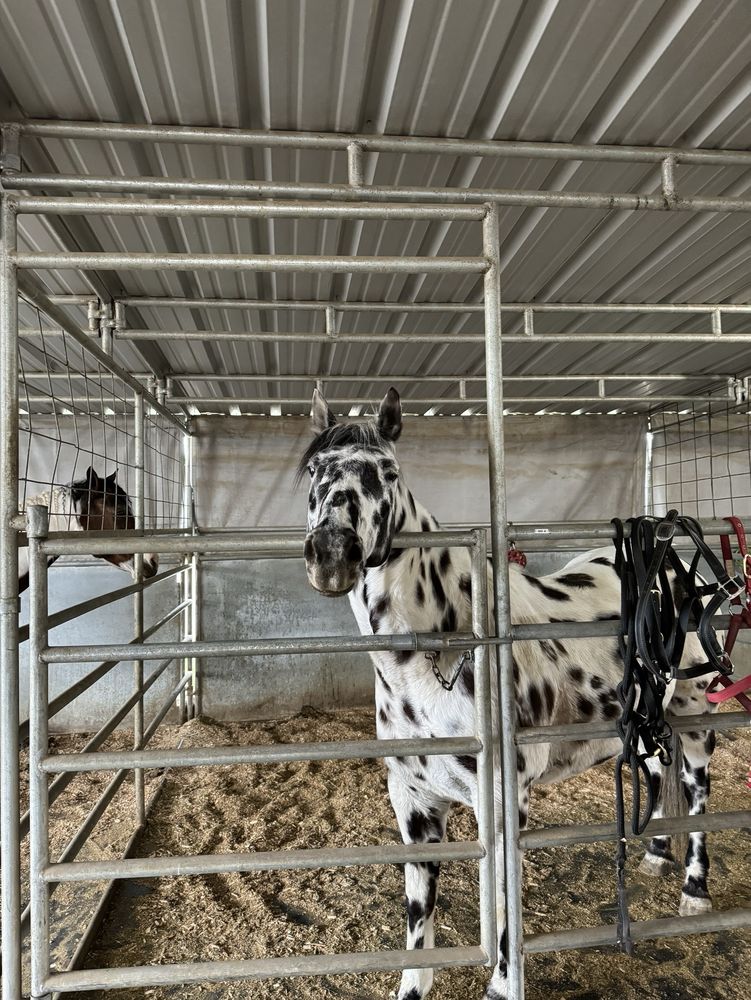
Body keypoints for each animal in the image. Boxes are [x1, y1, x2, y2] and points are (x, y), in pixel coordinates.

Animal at [297, 387, 717, 1000]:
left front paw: (500, 980)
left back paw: (694, 892)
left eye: (388, 472)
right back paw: (656, 857)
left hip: (697, 717)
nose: (332, 554)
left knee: (696, 789)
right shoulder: (415, 801)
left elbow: (502, 901)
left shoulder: (502, 802)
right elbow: (419, 912)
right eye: (313, 470)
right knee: (658, 771)